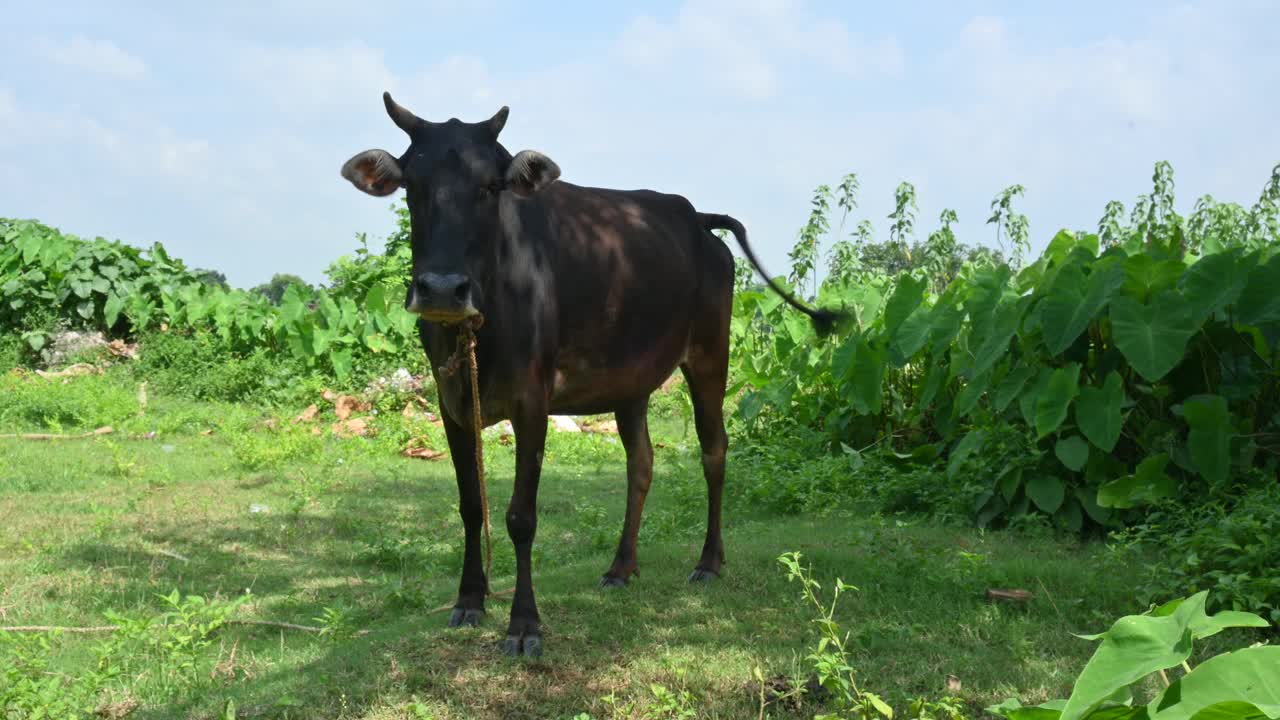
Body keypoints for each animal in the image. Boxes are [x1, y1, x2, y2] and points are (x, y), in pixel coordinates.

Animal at [340, 90, 839, 655]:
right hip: (632, 382)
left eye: (490, 187)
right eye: (413, 187)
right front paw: (469, 600)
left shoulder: (532, 400)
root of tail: (697, 219)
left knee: (714, 450)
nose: (443, 289)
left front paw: (524, 625)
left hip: (711, 354)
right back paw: (622, 567)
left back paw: (709, 562)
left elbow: (521, 516)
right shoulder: (452, 402)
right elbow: (471, 505)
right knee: (641, 463)